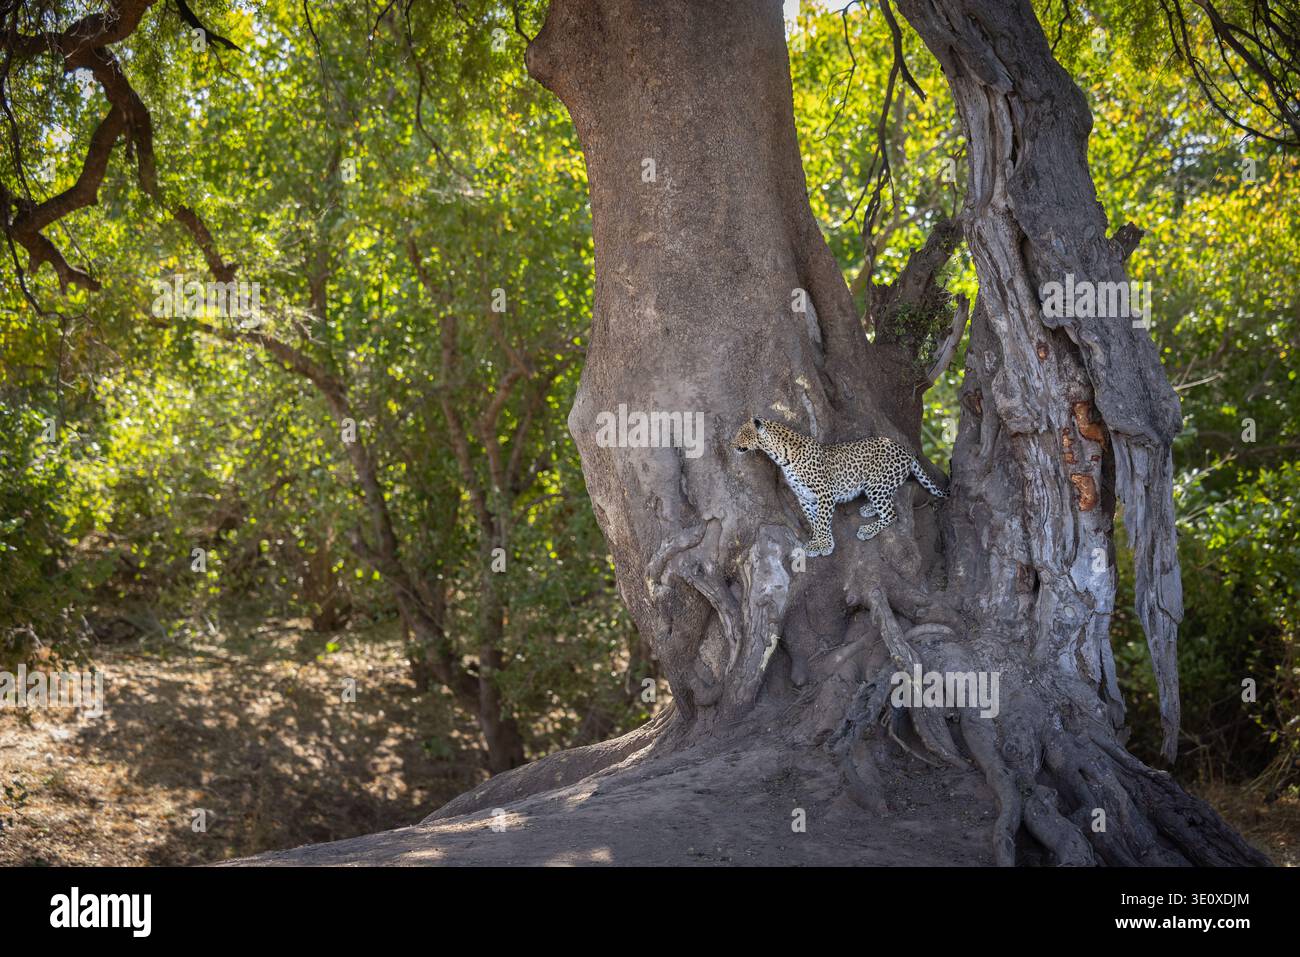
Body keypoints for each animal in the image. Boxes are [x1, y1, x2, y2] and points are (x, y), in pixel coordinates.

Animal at [732, 417, 948, 557]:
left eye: (742, 433)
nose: (732, 444)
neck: (781, 456)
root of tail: (906, 450)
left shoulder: (824, 492)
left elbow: (822, 520)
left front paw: (825, 544)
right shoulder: (804, 497)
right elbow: (813, 521)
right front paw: (816, 543)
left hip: (877, 484)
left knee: (891, 514)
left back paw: (868, 529)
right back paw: (869, 508)